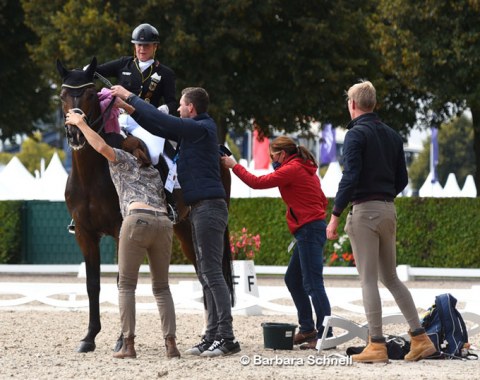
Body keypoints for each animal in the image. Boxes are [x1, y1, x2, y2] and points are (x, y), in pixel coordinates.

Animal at [56, 57, 234, 354]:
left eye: (91, 94)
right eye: (62, 96)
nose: (75, 133)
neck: (92, 172)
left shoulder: (121, 230)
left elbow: (122, 281)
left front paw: (120, 339)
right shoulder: (85, 234)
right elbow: (93, 285)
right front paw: (89, 338)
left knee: (214, 274)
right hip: (185, 229)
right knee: (203, 275)